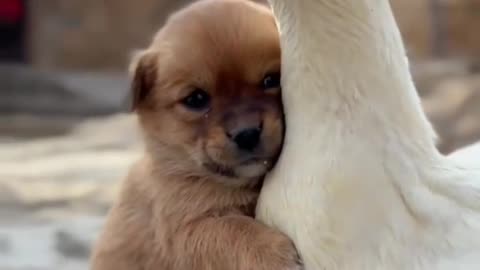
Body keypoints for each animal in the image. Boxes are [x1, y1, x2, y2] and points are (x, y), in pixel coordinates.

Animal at [90, 0, 302, 270]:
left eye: (271, 79)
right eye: (196, 99)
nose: (247, 134)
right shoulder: (186, 228)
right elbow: (232, 229)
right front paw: (272, 253)